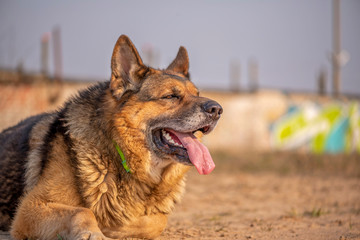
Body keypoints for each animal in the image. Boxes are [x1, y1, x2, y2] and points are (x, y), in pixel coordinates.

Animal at [0, 34, 222, 239]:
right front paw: (97, 229)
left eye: (198, 94)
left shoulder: (155, 217)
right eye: (171, 96)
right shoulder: (31, 208)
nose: (217, 109)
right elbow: (83, 211)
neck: (117, 152)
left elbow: (158, 220)